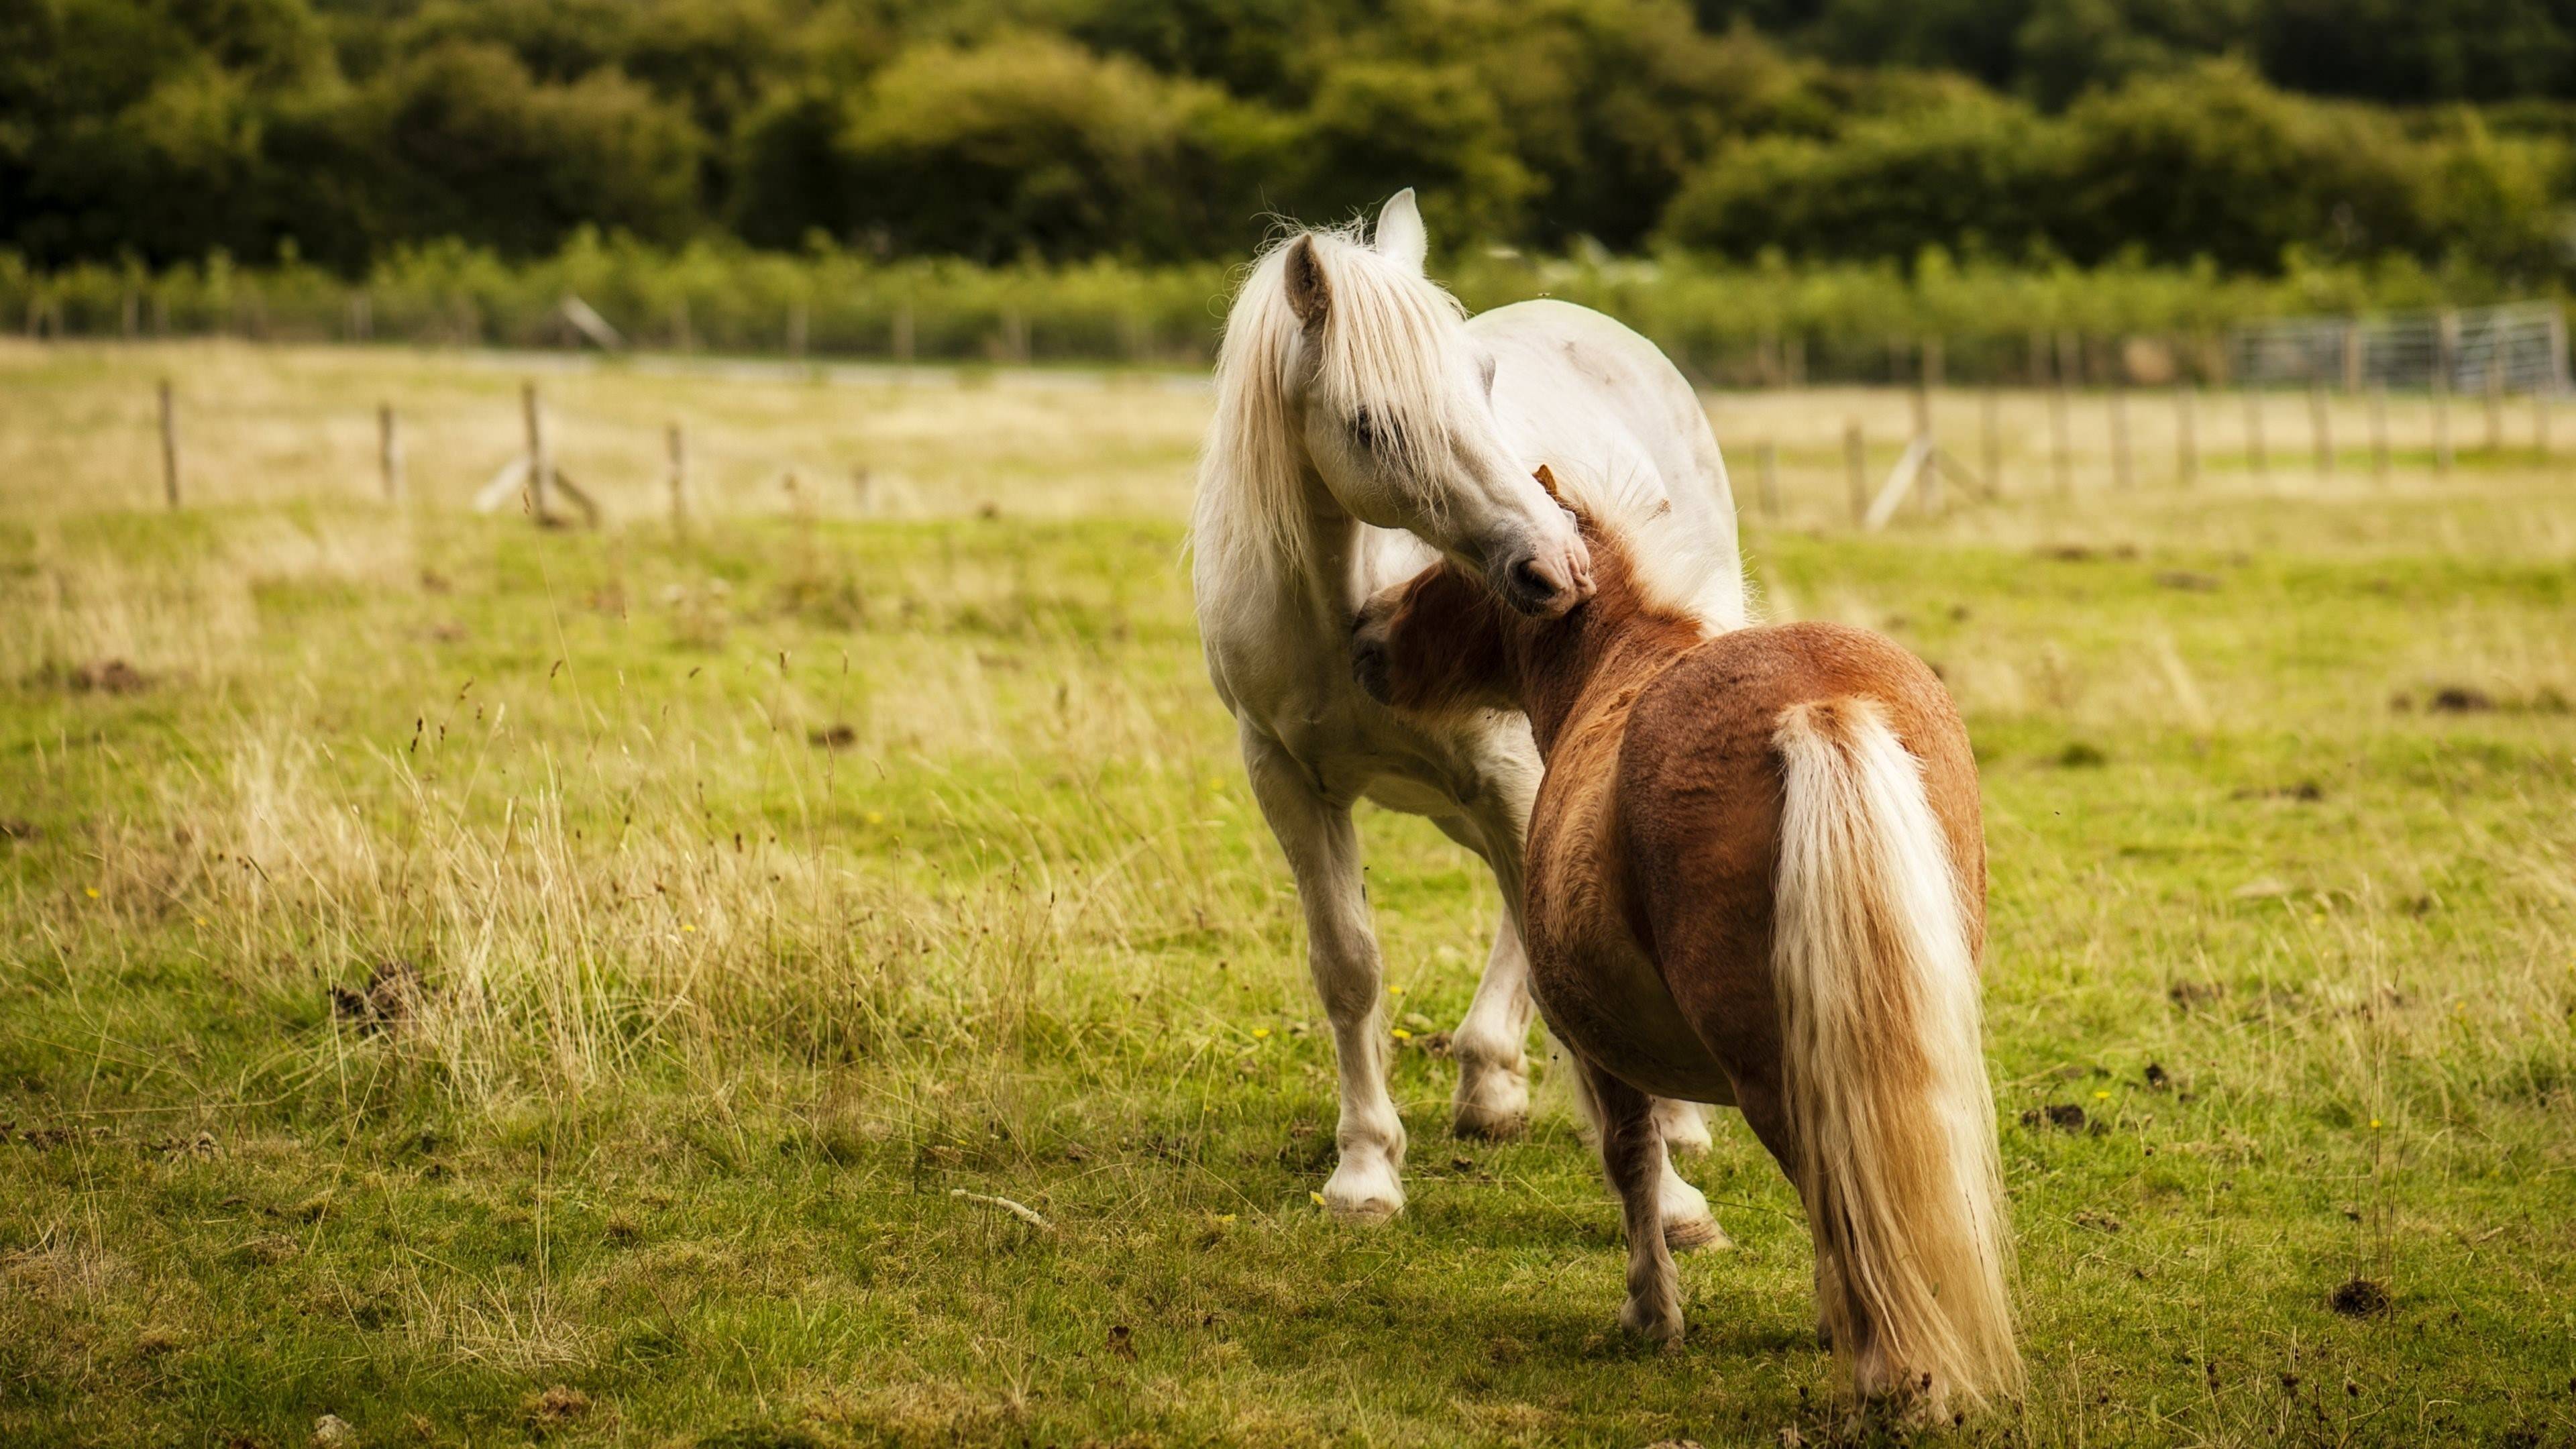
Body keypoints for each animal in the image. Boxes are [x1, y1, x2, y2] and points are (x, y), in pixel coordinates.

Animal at [1190, 189, 1752, 1227]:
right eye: (1371, 426)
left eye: (1483, 379)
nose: (1559, 564)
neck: (1346, 603)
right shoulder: (1287, 782)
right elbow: (1348, 968)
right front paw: (1365, 1171)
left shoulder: (1504, 777)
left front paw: (1671, 1199)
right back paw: (1491, 1082)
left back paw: (1676, 1119)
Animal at [1360, 472, 2019, 1413]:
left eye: (1451, 563)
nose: (1368, 634)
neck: (1612, 665)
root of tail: (1817, 703)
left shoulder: (1599, 1049)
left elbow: (1632, 1157)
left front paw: (1652, 1314)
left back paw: (1886, 1374)